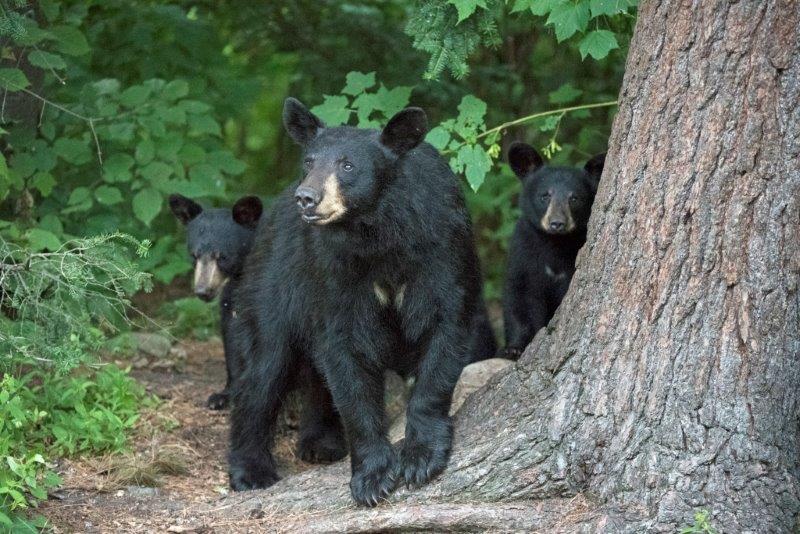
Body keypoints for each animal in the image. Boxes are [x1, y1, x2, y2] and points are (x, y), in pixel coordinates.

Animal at [169, 193, 263, 409]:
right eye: (194, 255)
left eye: (223, 256)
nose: (203, 291)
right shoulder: (229, 301)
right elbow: (231, 339)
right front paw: (223, 395)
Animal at [227, 98, 494, 506]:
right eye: (310, 161)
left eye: (348, 165)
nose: (307, 197)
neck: (377, 232)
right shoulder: (336, 271)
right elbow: (347, 356)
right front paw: (372, 476)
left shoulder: (441, 251)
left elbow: (445, 331)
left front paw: (421, 456)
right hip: (274, 284)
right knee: (263, 368)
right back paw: (251, 469)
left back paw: (321, 441)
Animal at [502, 142, 605, 359]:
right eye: (545, 196)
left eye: (574, 198)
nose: (557, 223)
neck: (554, 244)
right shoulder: (523, 255)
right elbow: (518, 298)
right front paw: (513, 348)